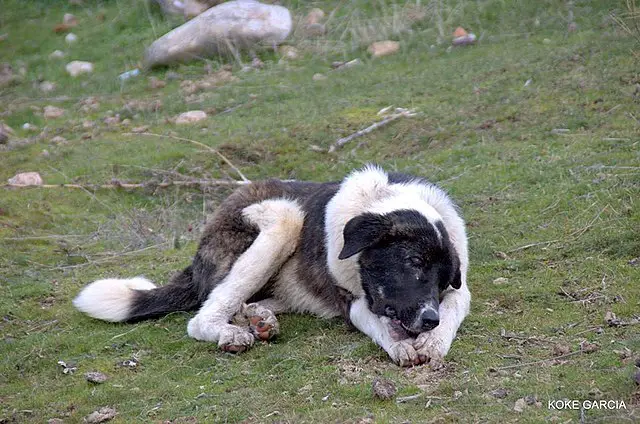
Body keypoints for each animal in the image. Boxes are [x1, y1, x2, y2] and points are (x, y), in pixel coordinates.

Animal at [75, 166, 470, 364]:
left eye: (442, 281)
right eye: (412, 262)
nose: (428, 320)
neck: (380, 199)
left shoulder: (457, 289)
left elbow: (456, 306)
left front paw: (435, 341)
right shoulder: (355, 302)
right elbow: (379, 323)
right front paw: (400, 344)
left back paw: (257, 319)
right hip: (285, 218)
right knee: (202, 316)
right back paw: (231, 332)